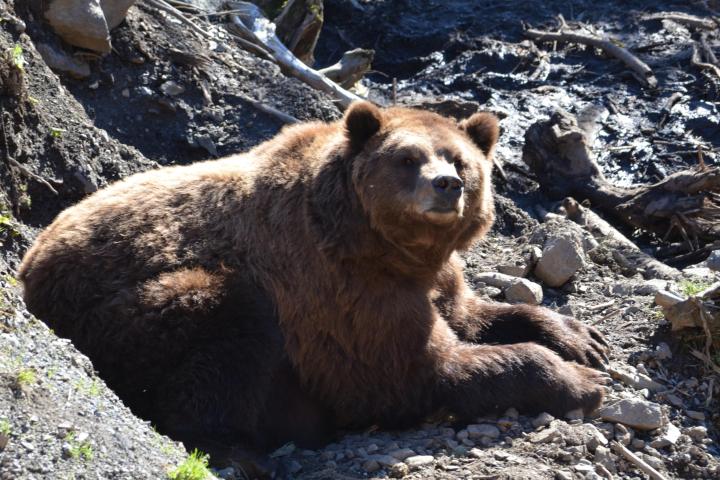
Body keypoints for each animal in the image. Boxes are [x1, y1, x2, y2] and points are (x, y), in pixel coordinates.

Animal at [19, 102, 608, 462]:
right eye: (407, 158)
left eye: (459, 159)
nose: (446, 185)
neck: (388, 248)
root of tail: (28, 261)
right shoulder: (334, 287)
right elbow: (411, 368)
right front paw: (578, 381)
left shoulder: (431, 275)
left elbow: (473, 314)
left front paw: (583, 341)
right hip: (119, 311)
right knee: (225, 325)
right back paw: (237, 448)